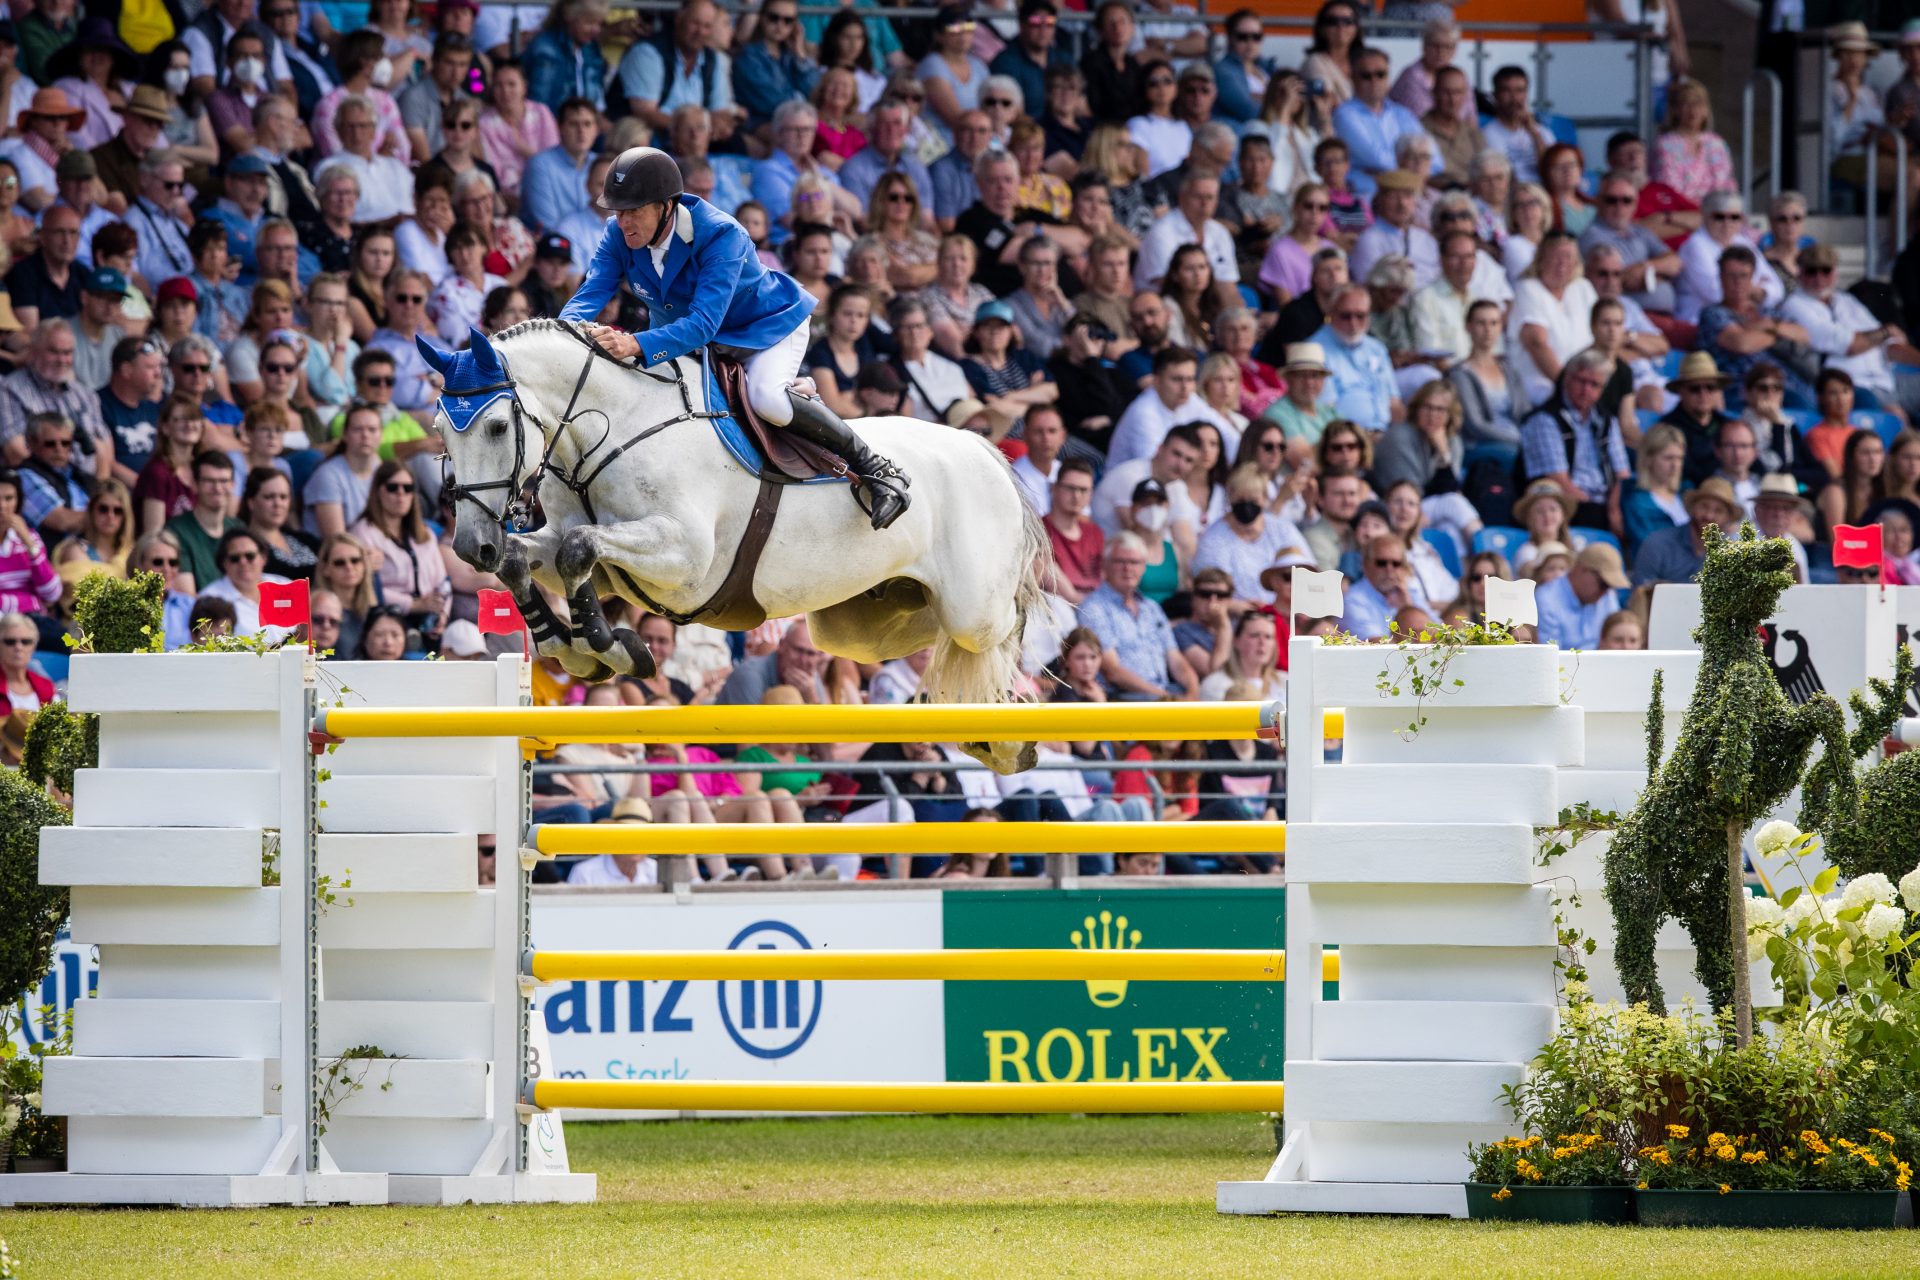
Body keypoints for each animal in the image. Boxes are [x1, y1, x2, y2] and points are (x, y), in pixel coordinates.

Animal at [416, 321, 1051, 774]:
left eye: (498, 427)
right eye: (441, 431)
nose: (472, 547)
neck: (609, 429)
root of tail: (983, 448)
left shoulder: (687, 561)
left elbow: (579, 548)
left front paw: (605, 646)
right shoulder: (572, 548)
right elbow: (533, 558)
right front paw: (575, 649)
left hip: (972, 607)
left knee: (1004, 628)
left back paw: (1008, 739)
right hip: (863, 628)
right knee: (937, 641)